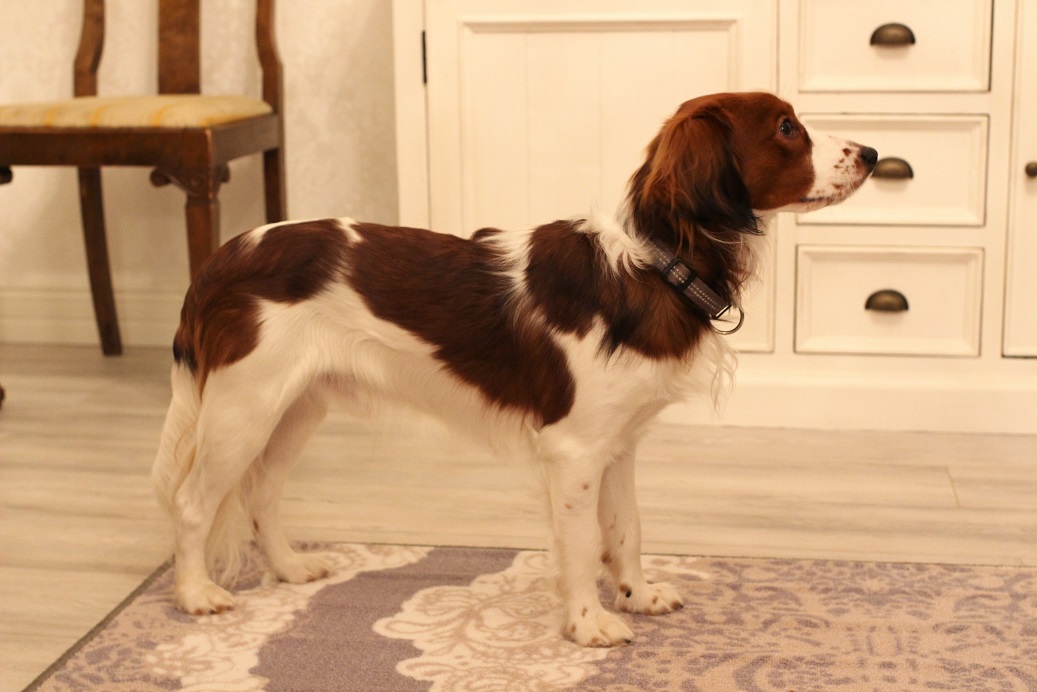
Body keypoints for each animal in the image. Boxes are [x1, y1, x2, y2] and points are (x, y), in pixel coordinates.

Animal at [153, 91, 876, 647]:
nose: (872, 153)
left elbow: (627, 530)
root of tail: (222, 258)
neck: (652, 263)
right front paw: (587, 625)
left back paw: (290, 569)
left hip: (296, 405)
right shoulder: (573, 449)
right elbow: (580, 543)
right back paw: (195, 593)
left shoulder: (619, 444)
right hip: (244, 408)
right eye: (785, 127)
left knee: (260, 492)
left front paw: (638, 596)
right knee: (192, 502)